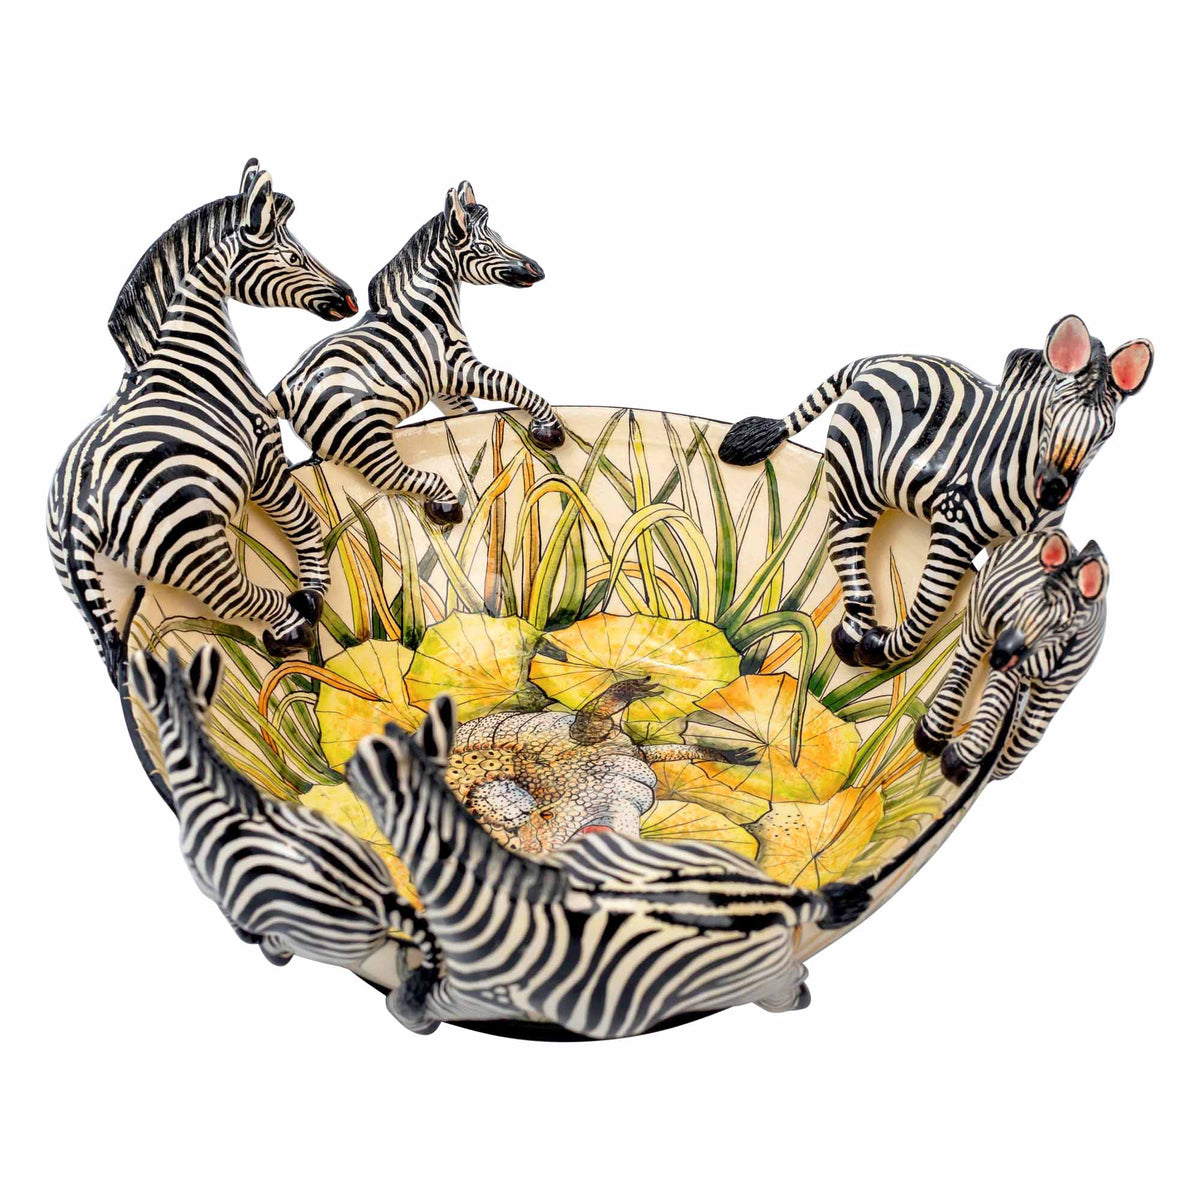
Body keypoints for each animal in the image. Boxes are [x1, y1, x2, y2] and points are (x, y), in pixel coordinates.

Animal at [48, 160, 358, 683]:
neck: (189, 354)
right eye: (293, 257)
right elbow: (304, 521)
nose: (350, 298)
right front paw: (316, 590)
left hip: (99, 595)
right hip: (190, 540)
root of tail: (75, 518)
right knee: (236, 596)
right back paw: (295, 627)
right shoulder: (263, 453)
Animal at [271, 180, 565, 527]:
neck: (425, 311)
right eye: (484, 248)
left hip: (334, 441)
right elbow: (510, 383)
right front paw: (549, 430)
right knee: (396, 475)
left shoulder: (444, 389)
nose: (538, 269)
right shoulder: (455, 368)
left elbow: (468, 415)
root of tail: (284, 390)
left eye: (500, 238)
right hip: (363, 437)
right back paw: (446, 507)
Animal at [718, 315, 1151, 669]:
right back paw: (852, 634)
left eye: (1106, 433)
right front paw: (876, 650)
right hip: (858, 478)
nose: (1054, 492)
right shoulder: (956, 525)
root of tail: (880, 361)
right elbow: (932, 603)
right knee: (845, 539)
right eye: (1048, 417)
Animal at [913, 529, 1108, 784]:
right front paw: (959, 762)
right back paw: (932, 734)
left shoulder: (1057, 690)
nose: (999, 656)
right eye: (1023, 602)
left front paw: (992, 768)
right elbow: (995, 703)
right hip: (978, 617)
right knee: (965, 662)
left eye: (1061, 625)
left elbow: (1029, 733)